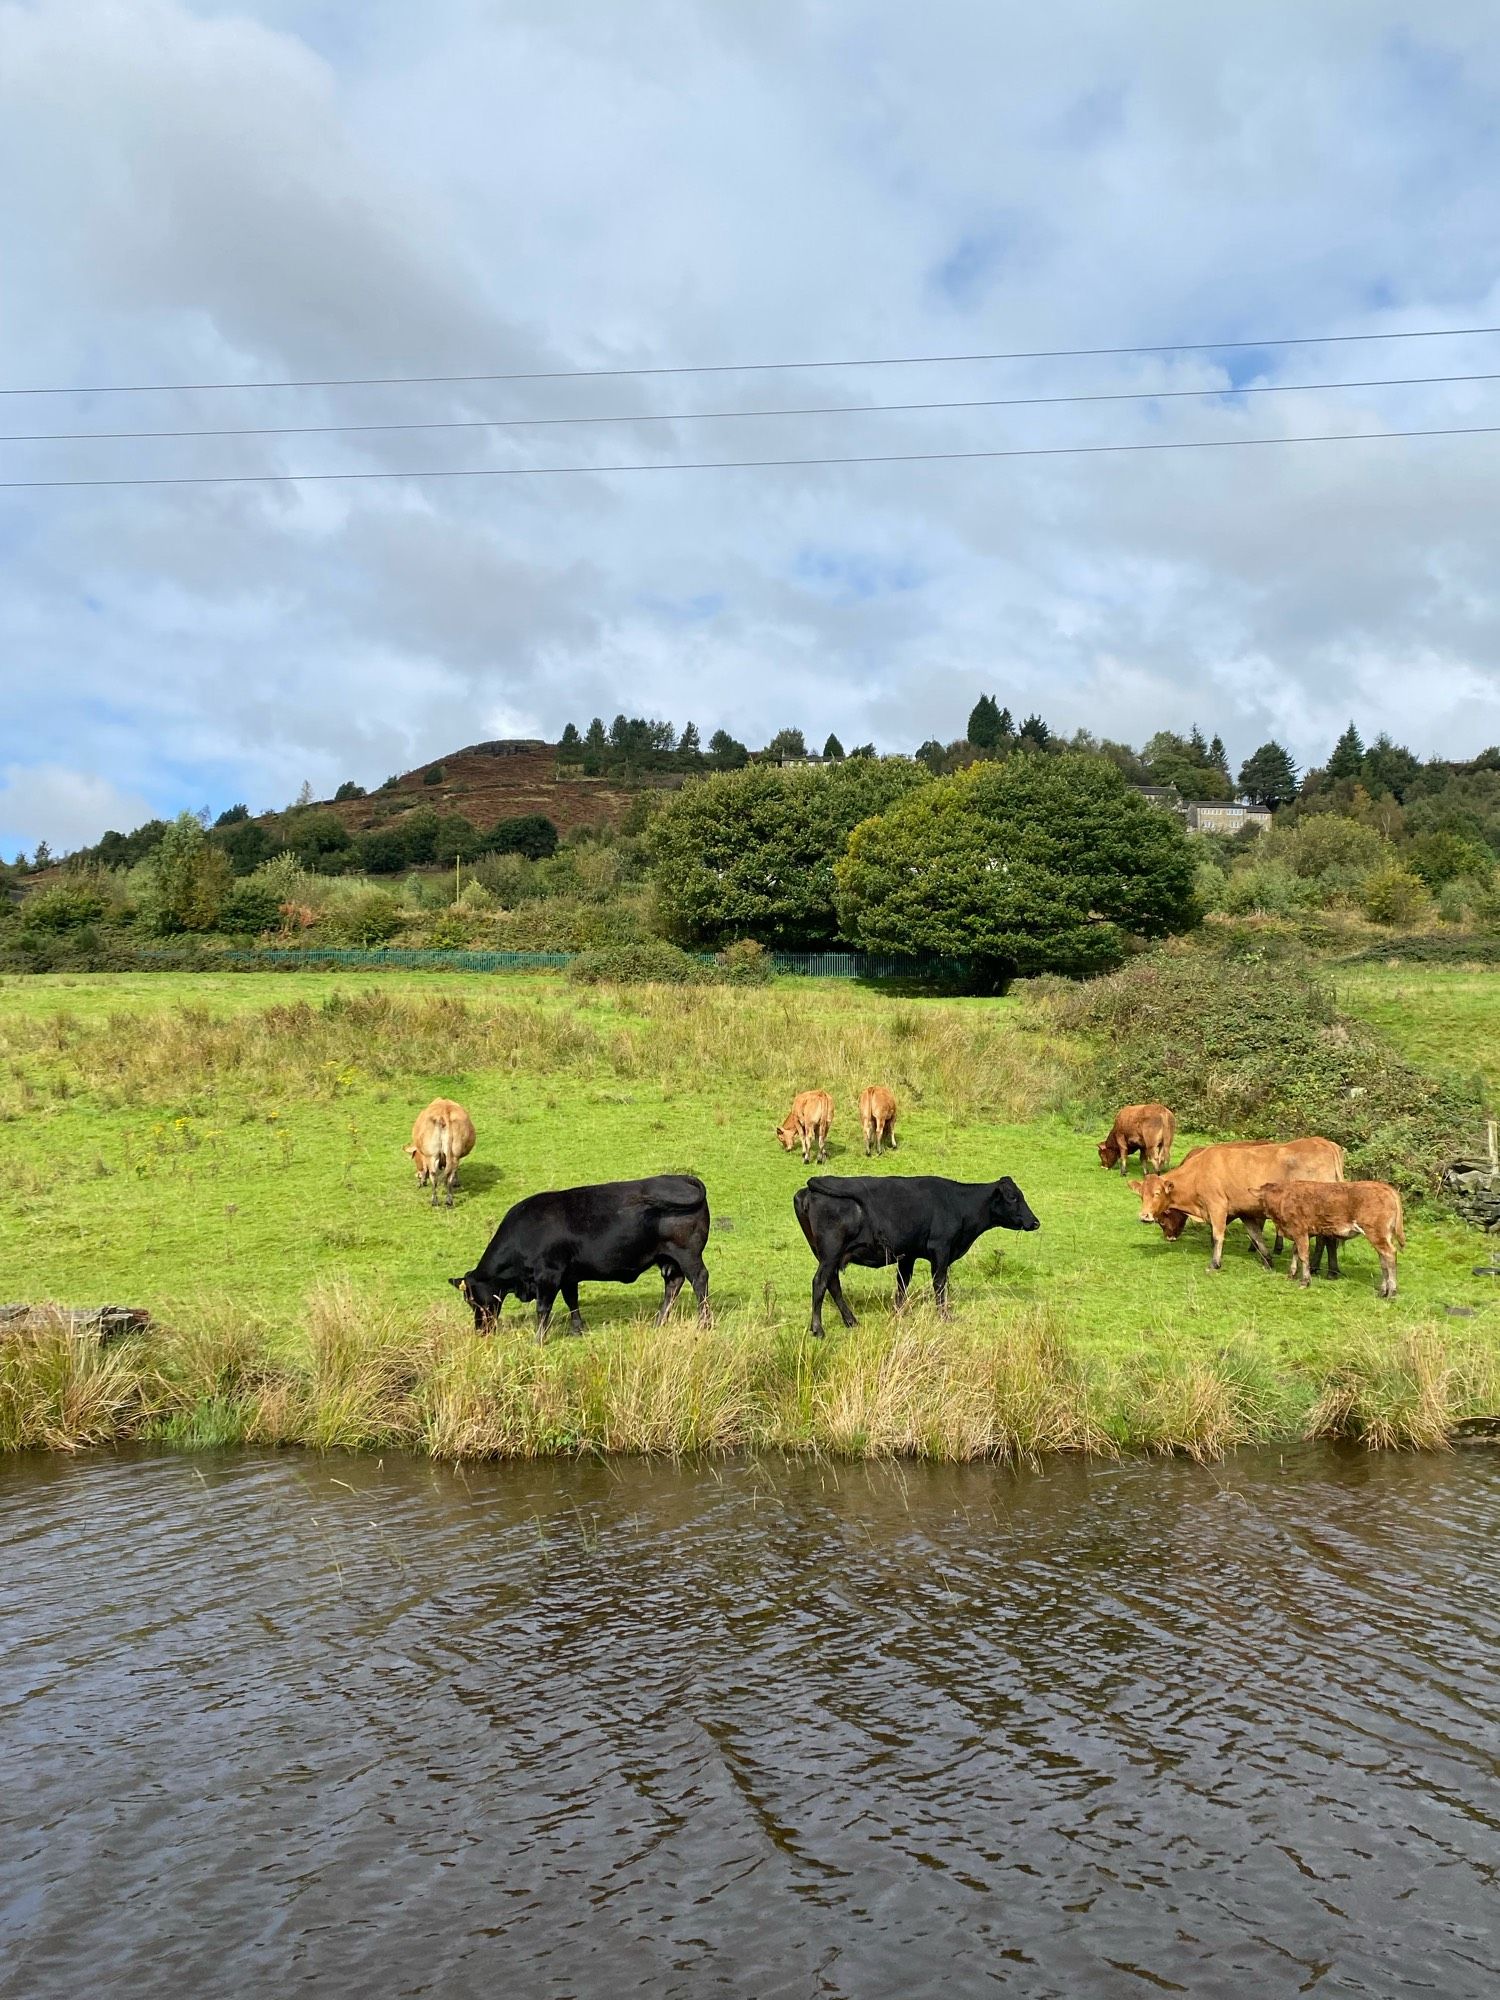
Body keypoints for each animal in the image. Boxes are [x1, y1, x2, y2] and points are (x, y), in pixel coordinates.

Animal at [450, 1168, 712, 1344]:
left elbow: (543, 1308)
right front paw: (578, 1329)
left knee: (699, 1280)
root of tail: (683, 1178)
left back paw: (704, 1323)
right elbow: (571, 1301)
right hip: (668, 1258)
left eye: (471, 1299)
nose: (480, 1330)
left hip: (688, 1254)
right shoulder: (568, 1276)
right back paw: (659, 1322)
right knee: (673, 1285)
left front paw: (538, 1340)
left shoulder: (549, 1275)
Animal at [792, 1168, 1040, 1344]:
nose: (1035, 1222)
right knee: (820, 1282)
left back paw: (851, 1321)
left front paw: (897, 1314)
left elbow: (902, 1284)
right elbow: (940, 1284)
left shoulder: (908, 1254)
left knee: (832, 1283)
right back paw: (819, 1329)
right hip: (831, 1252)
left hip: (827, 1254)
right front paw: (944, 1316)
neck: (957, 1203)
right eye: (1012, 1197)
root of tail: (810, 1188)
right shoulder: (941, 1248)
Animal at [1136, 1144, 1352, 1264]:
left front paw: (1215, 1263)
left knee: (1327, 1239)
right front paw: (1268, 1261)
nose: (1144, 1216)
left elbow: (1218, 1236)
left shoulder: (1217, 1206)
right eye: (1141, 1196)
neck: (1198, 1172)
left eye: (1156, 1194)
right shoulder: (1244, 1212)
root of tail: (1322, 1142)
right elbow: (1256, 1236)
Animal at [1264, 1176, 1416, 1304]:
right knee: (1383, 1259)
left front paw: (1304, 1282)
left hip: (1376, 1232)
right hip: (1384, 1235)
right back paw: (1382, 1292)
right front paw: (1291, 1274)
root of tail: (1386, 1188)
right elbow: (1296, 1252)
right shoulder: (1302, 1233)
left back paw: (1391, 1294)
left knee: (1390, 1254)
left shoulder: (1299, 1230)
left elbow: (1303, 1255)